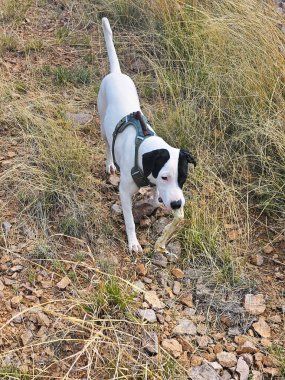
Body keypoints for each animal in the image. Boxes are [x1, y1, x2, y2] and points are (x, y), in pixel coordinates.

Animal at [96, 17, 194, 252]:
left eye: (184, 177)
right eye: (165, 176)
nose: (177, 204)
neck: (143, 147)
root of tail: (116, 73)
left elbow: (155, 194)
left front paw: (157, 199)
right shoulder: (124, 193)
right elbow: (130, 221)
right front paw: (133, 243)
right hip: (103, 125)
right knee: (107, 145)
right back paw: (109, 163)